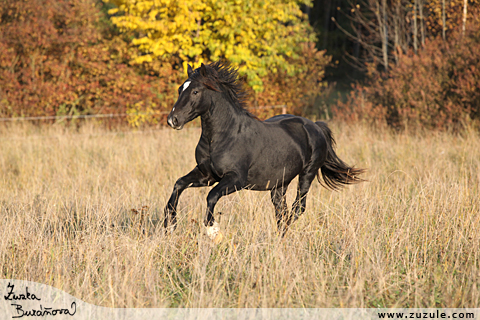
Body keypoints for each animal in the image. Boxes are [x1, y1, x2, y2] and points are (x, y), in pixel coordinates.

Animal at [165, 61, 364, 241]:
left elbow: (211, 196)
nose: (173, 120)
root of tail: (315, 126)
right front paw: (170, 225)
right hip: (280, 184)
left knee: (297, 208)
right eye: (180, 89)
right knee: (281, 210)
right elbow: (178, 184)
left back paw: (281, 237)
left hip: (307, 174)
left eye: (195, 91)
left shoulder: (236, 179)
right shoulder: (207, 175)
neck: (223, 136)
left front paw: (213, 231)